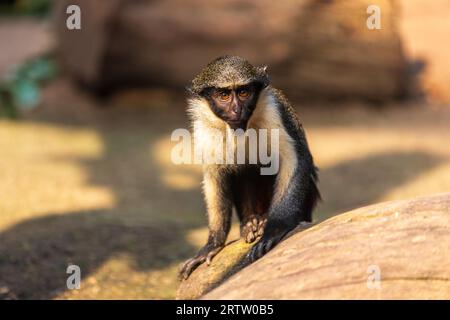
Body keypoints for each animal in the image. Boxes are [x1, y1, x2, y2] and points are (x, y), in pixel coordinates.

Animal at [179, 55, 320, 280]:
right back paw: (251, 223)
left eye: (244, 92)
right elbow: (216, 175)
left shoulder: (275, 111)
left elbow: (294, 159)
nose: (237, 109)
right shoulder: (203, 128)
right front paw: (213, 244)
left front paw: (274, 230)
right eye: (224, 95)